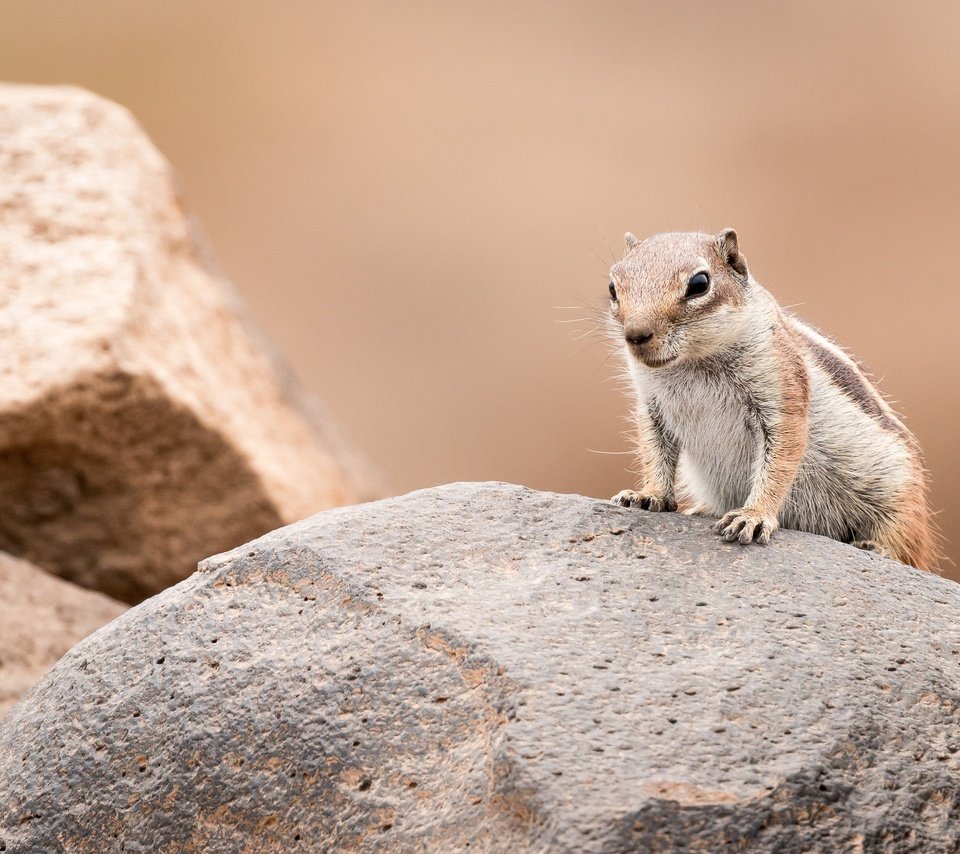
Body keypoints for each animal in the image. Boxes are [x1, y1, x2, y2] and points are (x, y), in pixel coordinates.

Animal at [608, 231, 936, 572]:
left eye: (699, 284)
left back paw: (876, 546)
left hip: (899, 495)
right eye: (612, 287)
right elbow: (654, 450)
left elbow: (779, 464)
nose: (636, 334)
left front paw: (752, 516)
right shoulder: (651, 407)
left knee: (904, 541)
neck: (694, 362)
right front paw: (647, 494)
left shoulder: (781, 394)